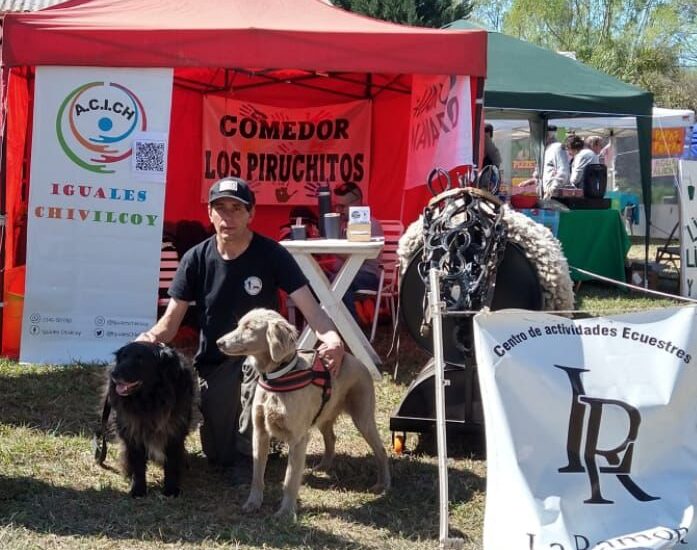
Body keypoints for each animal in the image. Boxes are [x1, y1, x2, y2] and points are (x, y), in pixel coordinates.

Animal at [105, 342, 195, 497]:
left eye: (140, 359)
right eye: (123, 357)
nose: (114, 374)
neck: (149, 399)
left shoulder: (174, 431)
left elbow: (171, 463)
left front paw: (171, 489)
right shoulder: (133, 433)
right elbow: (138, 464)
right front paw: (138, 489)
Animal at [217, 308, 390, 520]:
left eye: (249, 328)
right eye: (239, 325)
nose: (219, 342)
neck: (277, 378)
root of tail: (357, 360)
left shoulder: (298, 439)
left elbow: (290, 479)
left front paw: (285, 512)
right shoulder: (260, 433)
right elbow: (257, 474)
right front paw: (253, 503)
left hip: (362, 418)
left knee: (381, 450)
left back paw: (383, 485)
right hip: (324, 415)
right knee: (331, 438)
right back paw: (323, 466)